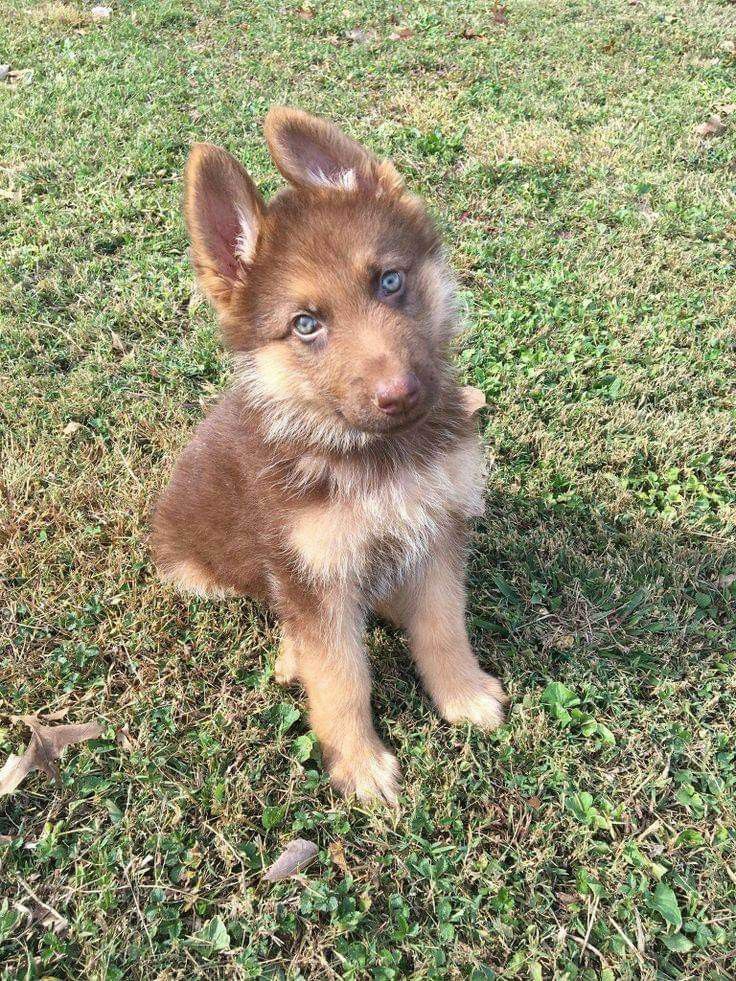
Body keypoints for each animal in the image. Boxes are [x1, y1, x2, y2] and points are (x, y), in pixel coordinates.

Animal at [152, 109, 508, 804]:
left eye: (390, 282)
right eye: (306, 324)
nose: (401, 396)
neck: (374, 454)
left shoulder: (437, 528)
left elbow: (442, 623)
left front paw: (460, 694)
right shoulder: (313, 573)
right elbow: (341, 677)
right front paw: (360, 763)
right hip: (199, 570)